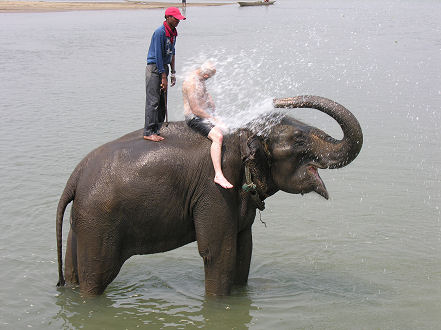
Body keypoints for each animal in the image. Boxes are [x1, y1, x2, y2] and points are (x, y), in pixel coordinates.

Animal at [56, 94, 362, 296]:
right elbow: (218, 252)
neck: (243, 135)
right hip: (100, 221)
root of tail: (75, 176)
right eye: (298, 138)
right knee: (96, 278)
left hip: (82, 222)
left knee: (74, 271)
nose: (278, 99)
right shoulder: (215, 189)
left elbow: (244, 249)